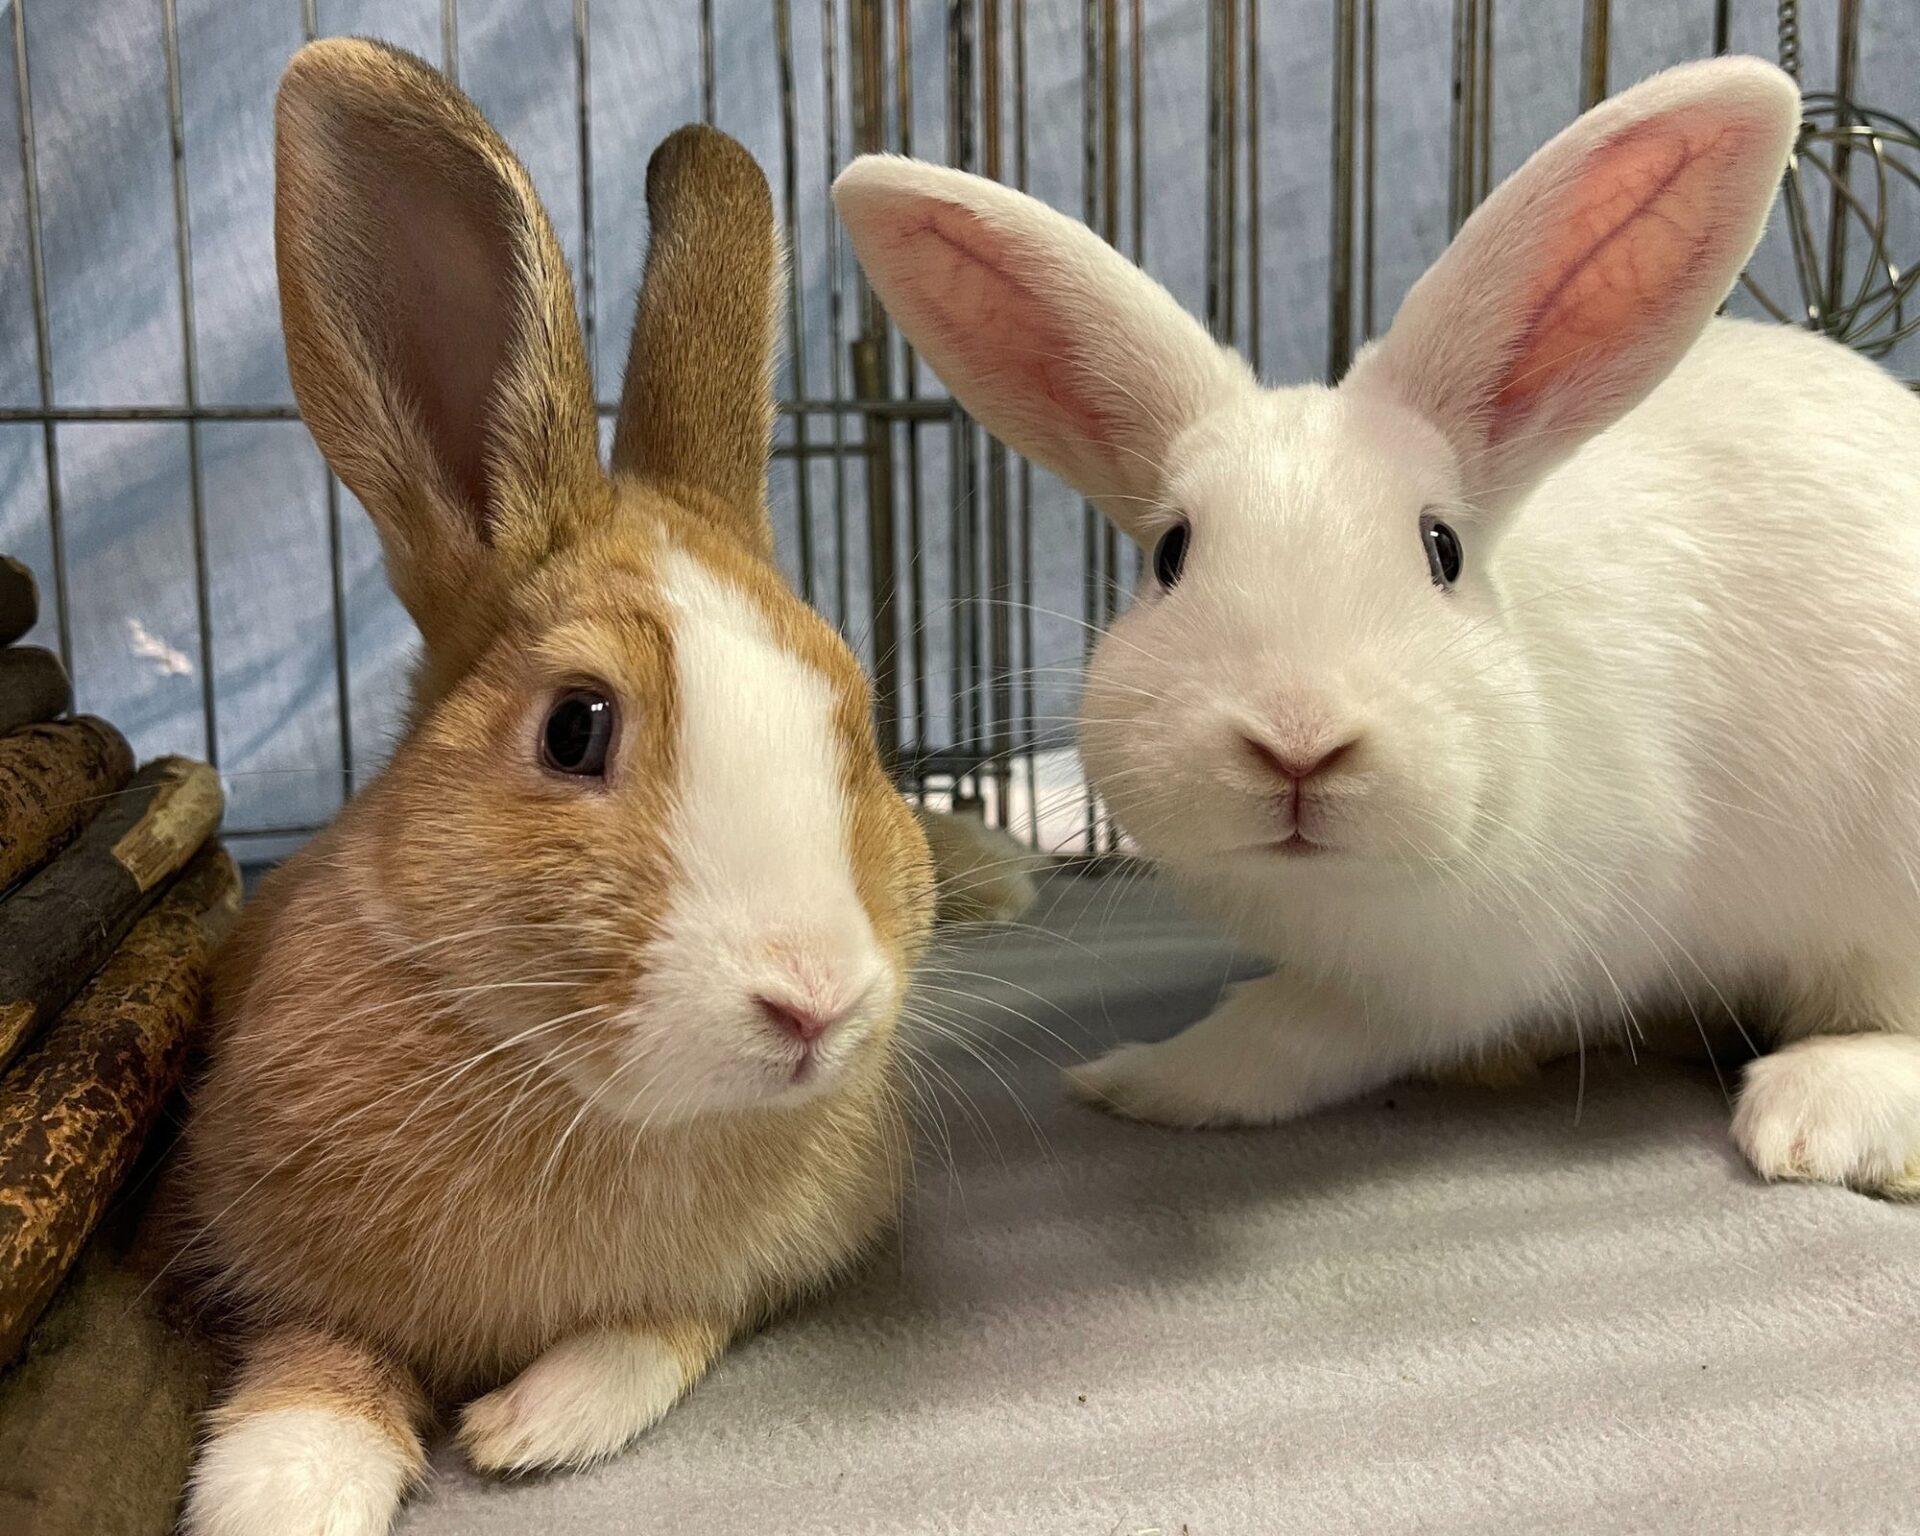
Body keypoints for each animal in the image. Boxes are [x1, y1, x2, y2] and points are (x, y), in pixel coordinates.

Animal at [179, 38, 935, 1536]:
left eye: (860, 722)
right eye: (576, 729)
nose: (815, 1001)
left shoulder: (766, 1264)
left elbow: (665, 1327)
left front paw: (535, 1423)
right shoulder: (256, 1248)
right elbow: (315, 1349)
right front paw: (282, 1489)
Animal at [836, 55, 1920, 1201]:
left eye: (1441, 549)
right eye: (1170, 554)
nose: (1296, 743)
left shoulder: (1449, 983)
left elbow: (1290, 1035)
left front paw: (1143, 1081)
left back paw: (1819, 1114)